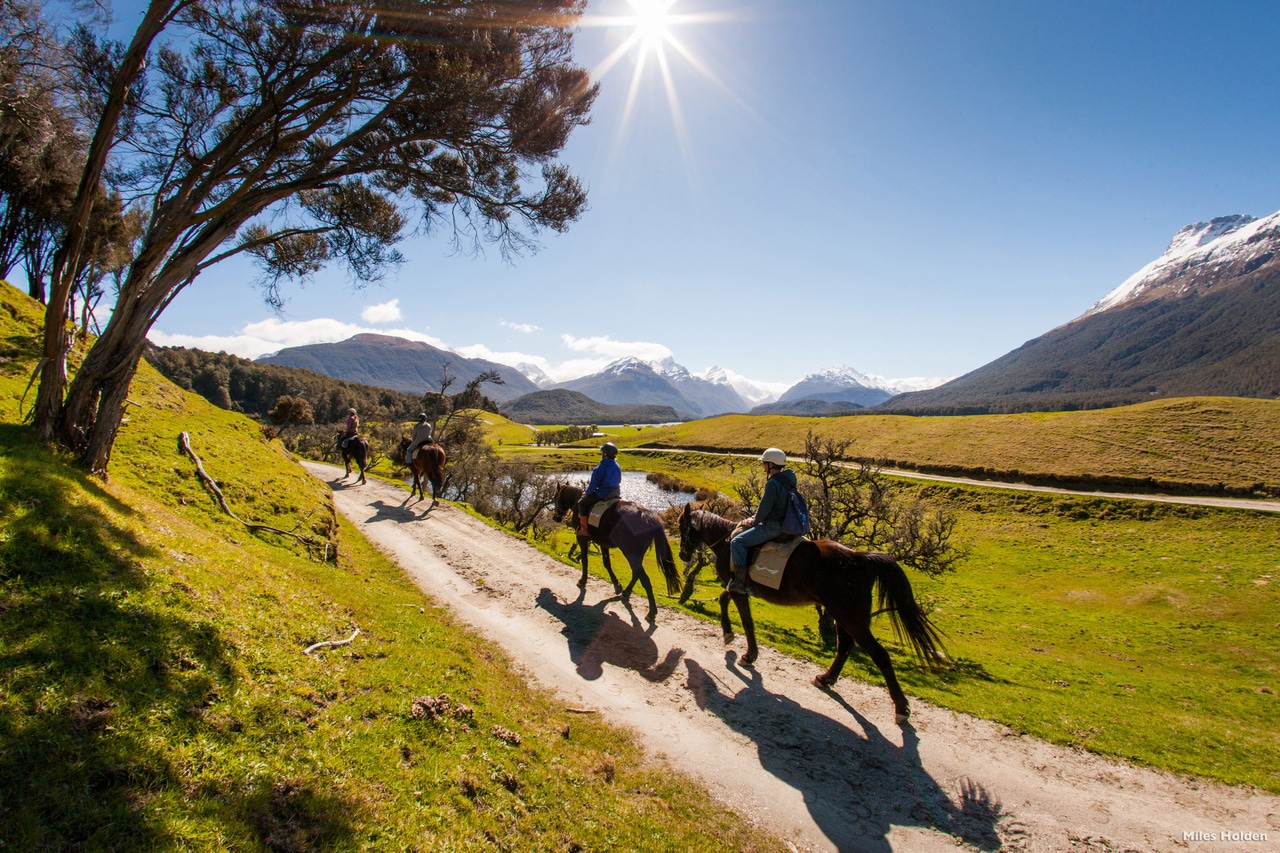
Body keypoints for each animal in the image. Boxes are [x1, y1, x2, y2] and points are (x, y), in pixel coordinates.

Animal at [552, 481, 686, 622]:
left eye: (555, 497)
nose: (555, 517)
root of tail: (647, 516)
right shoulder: (603, 543)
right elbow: (607, 563)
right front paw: (617, 585)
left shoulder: (582, 538)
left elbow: (584, 558)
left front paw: (583, 580)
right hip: (636, 555)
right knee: (636, 574)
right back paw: (626, 593)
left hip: (630, 553)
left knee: (645, 580)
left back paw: (651, 612)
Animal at [680, 502, 942, 722]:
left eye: (683, 527)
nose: (683, 554)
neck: (727, 542)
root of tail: (859, 558)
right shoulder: (736, 587)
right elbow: (724, 599)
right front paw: (729, 635)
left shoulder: (738, 589)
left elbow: (745, 620)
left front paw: (747, 653)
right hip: (841, 614)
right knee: (845, 646)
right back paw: (826, 679)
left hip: (851, 617)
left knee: (879, 655)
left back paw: (901, 707)